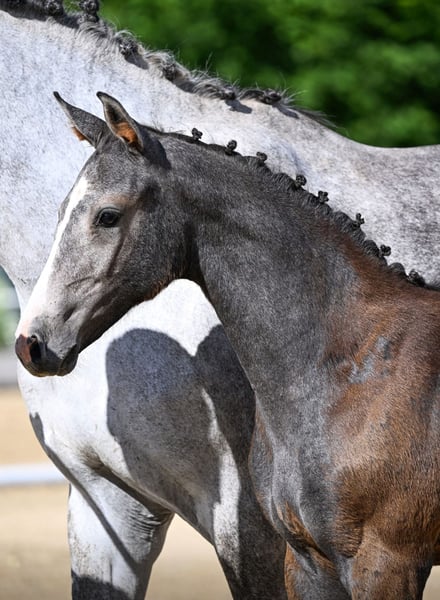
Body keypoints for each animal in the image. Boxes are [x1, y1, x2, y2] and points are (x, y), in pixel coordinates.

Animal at [1, 0, 440, 597]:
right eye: (60, 209)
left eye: (107, 216)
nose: (33, 344)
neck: (351, 358)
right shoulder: (104, 507)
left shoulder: (275, 535)